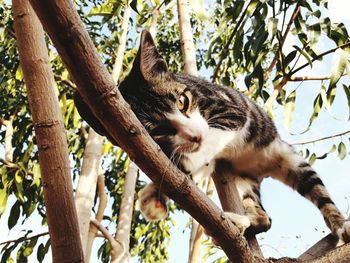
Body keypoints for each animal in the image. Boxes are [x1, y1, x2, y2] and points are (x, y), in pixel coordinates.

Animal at [75, 29, 350, 244]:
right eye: (158, 132)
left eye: (183, 101)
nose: (195, 136)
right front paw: (158, 190)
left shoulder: (231, 109)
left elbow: (214, 137)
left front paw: (182, 168)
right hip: (244, 182)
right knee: (265, 218)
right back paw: (237, 222)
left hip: (288, 157)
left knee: (317, 190)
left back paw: (340, 224)